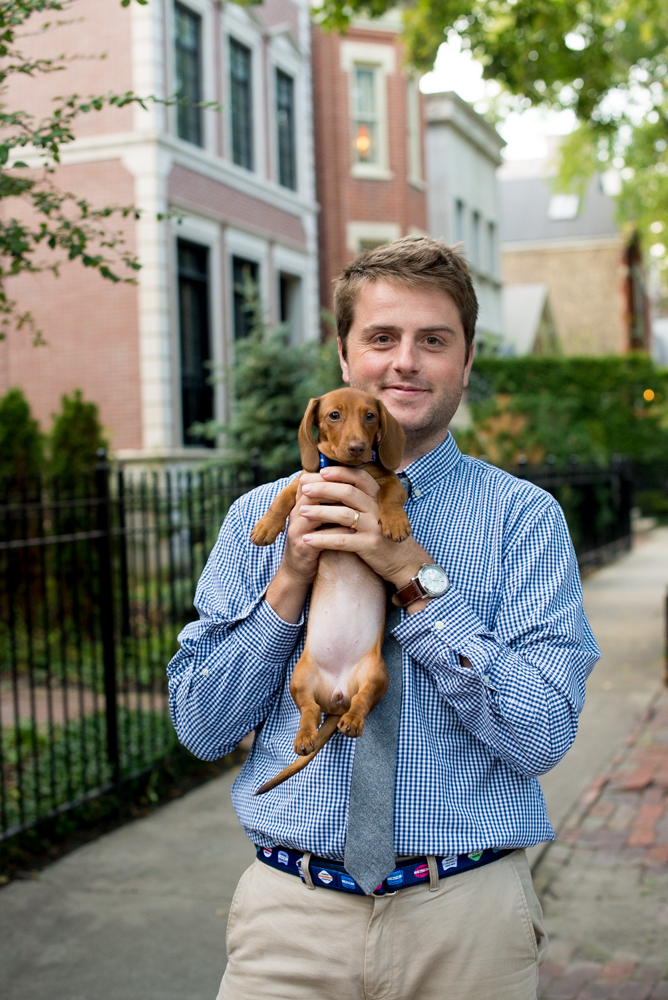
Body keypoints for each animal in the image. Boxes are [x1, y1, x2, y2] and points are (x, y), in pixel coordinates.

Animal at [250, 386, 410, 792]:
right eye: (334, 415)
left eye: (370, 416)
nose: (356, 447)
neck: (348, 470)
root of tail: (337, 695)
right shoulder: (307, 481)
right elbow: (285, 493)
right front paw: (267, 526)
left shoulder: (385, 480)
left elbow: (392, 492)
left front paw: (395, 521)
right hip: (300, 679)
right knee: (308, 710)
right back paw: (305, 736)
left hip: (375, 674)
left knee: (362, 702)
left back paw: (351, 720)